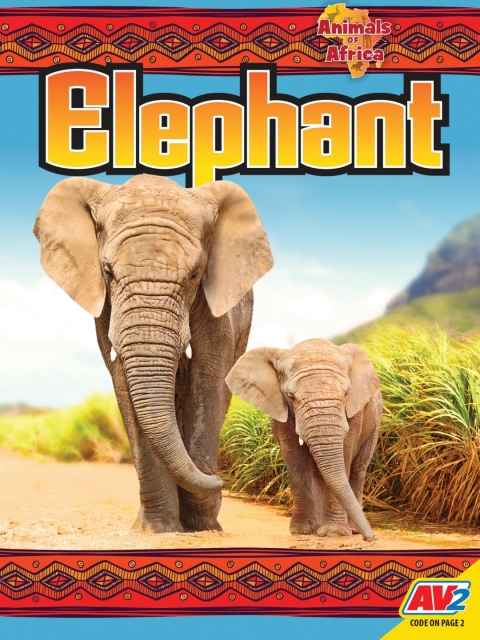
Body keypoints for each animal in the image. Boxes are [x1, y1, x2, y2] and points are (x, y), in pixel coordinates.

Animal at [33, 174, 273, 533]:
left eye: (195, 273)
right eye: (107, 271)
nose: (223, 481)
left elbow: (208, 378)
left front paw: (203, 524)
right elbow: (124, 383)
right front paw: (158, 529)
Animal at [225, 338, 382, 541]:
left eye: (347, 393)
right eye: (290, 396)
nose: (370, 538)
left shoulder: (355, 412)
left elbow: (346, 452)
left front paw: (334, 533)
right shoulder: (280, 409)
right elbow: (295, 458)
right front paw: (302, 531)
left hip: (376, 421)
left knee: (358, 468)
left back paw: (352, 529)